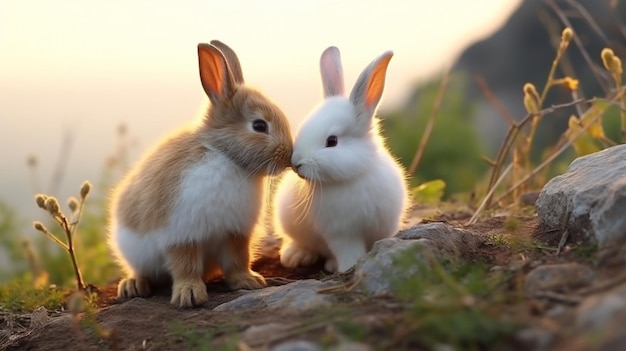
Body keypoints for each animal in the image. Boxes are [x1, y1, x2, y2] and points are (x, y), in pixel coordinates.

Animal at [108, 41, 292, 308]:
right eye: (259, 126)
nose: (289, 156)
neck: (225, 156)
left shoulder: (235, 233)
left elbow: (237, 260)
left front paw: (248, 282)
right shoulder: (181, 235)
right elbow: (186, 266)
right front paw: (190, 295)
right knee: (141, 271)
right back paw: (133, 286)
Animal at [272, 45, 404, 274]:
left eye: (332, 141)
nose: (296, 164)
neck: (354, 176)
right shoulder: (341, 233)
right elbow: (348, 251)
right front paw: (347, 267)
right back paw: (296, 256)